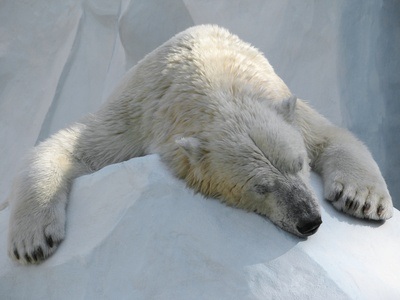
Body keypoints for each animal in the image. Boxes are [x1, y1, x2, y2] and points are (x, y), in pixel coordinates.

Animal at [6, 25, 392, 264]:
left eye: (299, 164)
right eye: (261, 186)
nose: (309, 220)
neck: (211, 80)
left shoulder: (277, 98)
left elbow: (331, 135)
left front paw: (362, 199)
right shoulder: (139, 118)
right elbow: (69, 146)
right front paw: (33, 240)